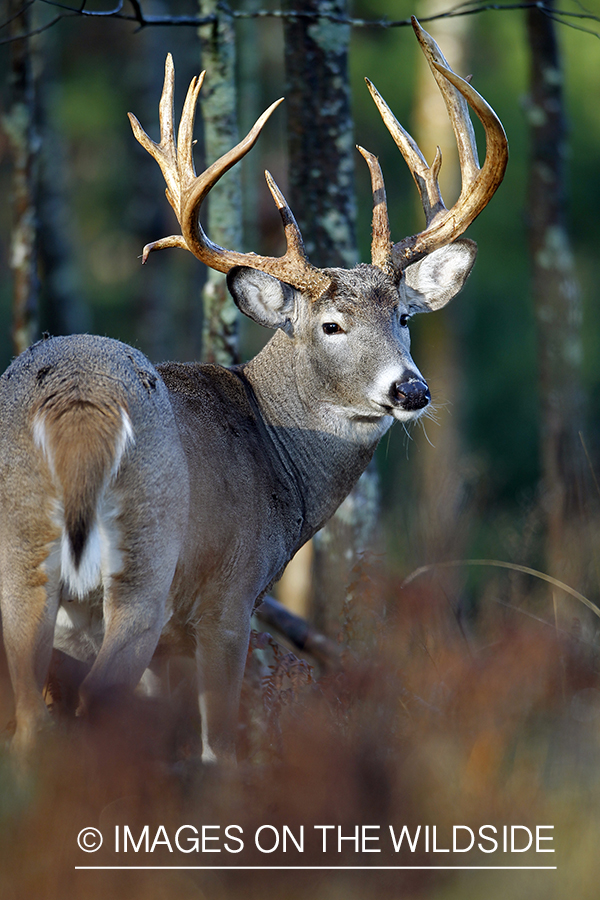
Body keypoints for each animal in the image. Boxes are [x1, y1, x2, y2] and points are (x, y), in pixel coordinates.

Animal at [0, 19, 506, 768]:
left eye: (405, 318)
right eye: (331, 325)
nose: (411, 389)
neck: (277, 454)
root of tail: (74, 400)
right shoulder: (227, 597)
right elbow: (219, 745)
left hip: (23, 559)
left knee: (31, 723)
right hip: (144, 558)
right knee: (94, 703)